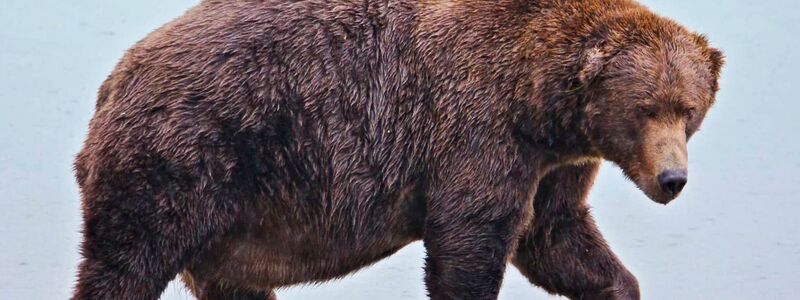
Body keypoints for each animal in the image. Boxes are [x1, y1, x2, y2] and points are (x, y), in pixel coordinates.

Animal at [73, 0, 724, 298]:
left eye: (688, 110)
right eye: (646, 108)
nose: (672, 179)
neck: (537, 103)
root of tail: (110, 85)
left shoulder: (553, 165)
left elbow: (556, 235)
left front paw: (615, 283)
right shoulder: (475, 129)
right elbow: (469, 242)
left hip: (228, 221)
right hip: (183, 160)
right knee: (125, 263)